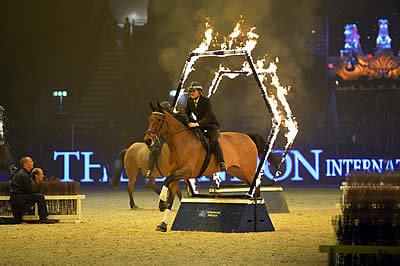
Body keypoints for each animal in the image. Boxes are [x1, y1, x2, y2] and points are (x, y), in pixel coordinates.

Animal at [144, 103, 262, 232]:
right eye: (149, 119)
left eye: (159, 120)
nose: (147, 140)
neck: (181, 143)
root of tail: (248, 137)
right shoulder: (176, 175)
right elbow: (170, 197)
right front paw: (163, 223)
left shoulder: (186, 172)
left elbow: (167, 180)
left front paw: (161, 203)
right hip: (238, 171)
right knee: (253, 184)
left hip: (248, 171)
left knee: (256, 184)